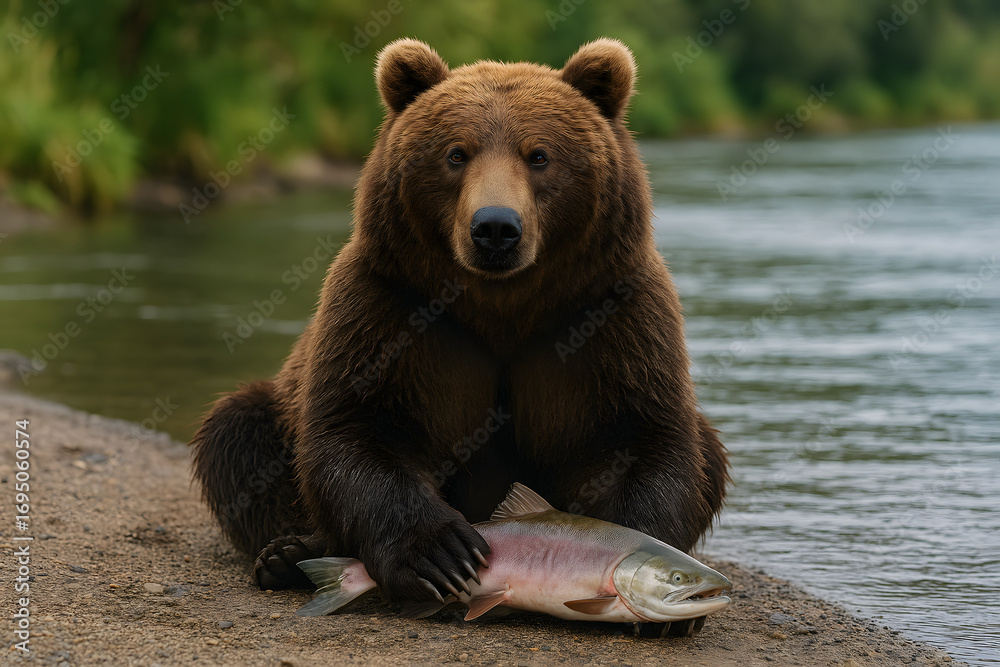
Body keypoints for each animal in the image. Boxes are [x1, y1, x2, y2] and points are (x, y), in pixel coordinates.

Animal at [191, 38, 729, 608]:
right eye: (456, 153)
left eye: (539, 155)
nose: (495, 227)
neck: (500, 306)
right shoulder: (391, 306)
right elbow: (357, 427)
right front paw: (439, 553)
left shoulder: (609, 313)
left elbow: (643, 436)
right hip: (276, 407)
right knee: (238, 436)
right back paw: (287, 553)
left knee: (709, 452)